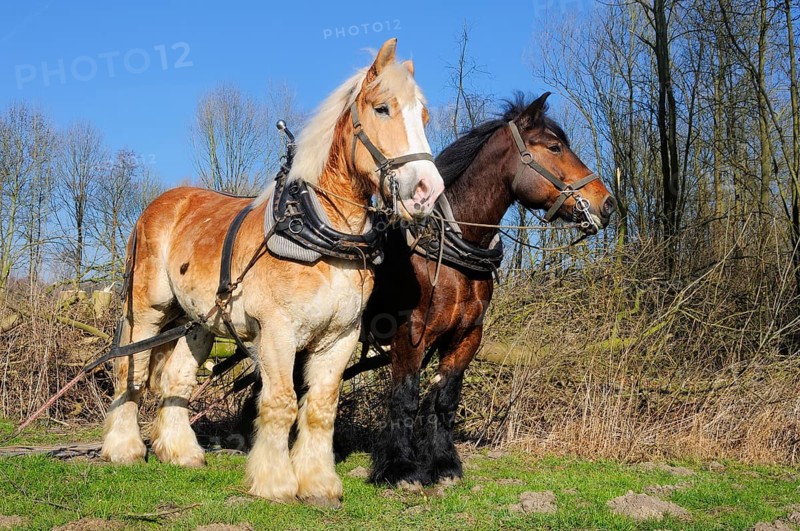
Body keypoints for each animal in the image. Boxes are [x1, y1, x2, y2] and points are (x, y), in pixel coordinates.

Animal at [99, 38, 445, 507]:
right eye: (382, 108)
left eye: (424, 117)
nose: (428, 190)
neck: (322, 236)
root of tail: (159, 205)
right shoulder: (278, 332)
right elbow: (281, 403)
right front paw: (276, 482)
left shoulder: (339, 338)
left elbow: (320, 408)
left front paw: (318, 483)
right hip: (147, 309)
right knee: (129, 371)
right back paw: (124, 448)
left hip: (198, 323)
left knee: (177, 378)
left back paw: (182, 452)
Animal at [363, 92, 616, 486]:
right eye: (555, 147)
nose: (606, 202)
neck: (448, 251)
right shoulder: (409, 335)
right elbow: (405, 397)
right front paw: (400, 468)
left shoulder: (467, 335)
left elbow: (444, 399)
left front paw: (443, 464)